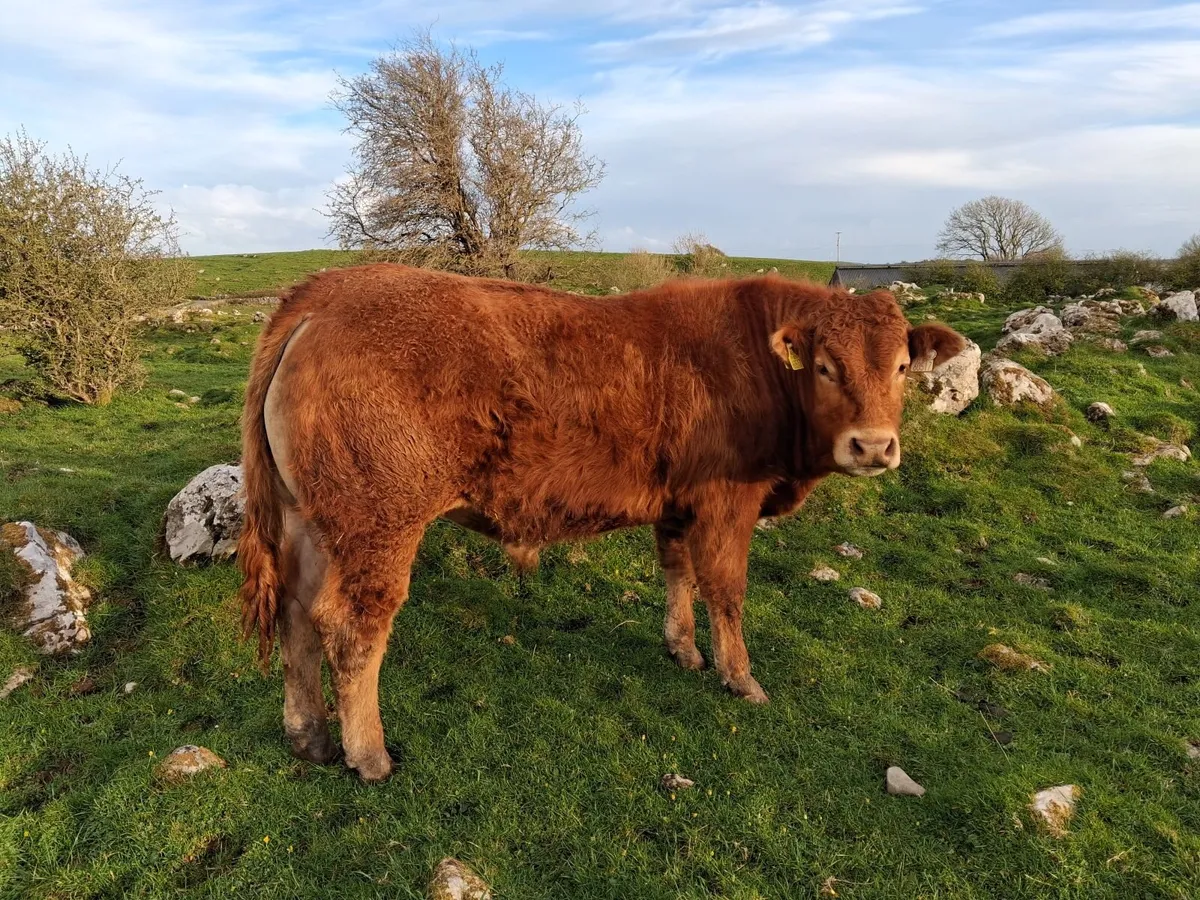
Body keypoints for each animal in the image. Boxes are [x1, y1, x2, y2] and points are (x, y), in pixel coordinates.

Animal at [238, 264, 965, 782]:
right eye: (824, 366)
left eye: (903, 366)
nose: (873, 447)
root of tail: (327, 291)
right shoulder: (728, 502)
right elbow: (726, 590)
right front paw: (740, 677)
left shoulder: (678, 506)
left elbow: (679, 575)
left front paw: (683, 649)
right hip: (378, 524)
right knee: (352, 626)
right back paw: (368, 755)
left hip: (310, 522)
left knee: (297, 615)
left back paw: (309, 737)